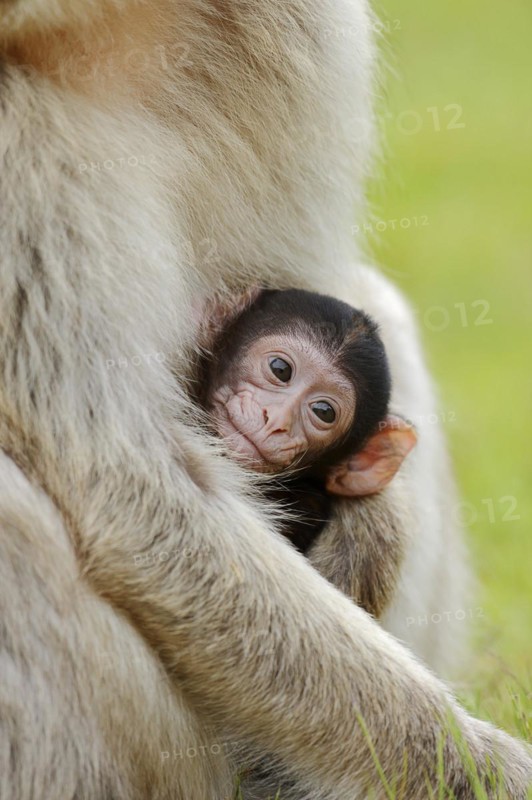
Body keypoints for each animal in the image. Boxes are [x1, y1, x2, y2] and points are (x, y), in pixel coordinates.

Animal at [0, 1, 531, 800]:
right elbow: (134, 492)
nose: (275, 421)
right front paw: (479, 768)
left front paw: (365, 516)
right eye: (278, 370)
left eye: (322, 410)